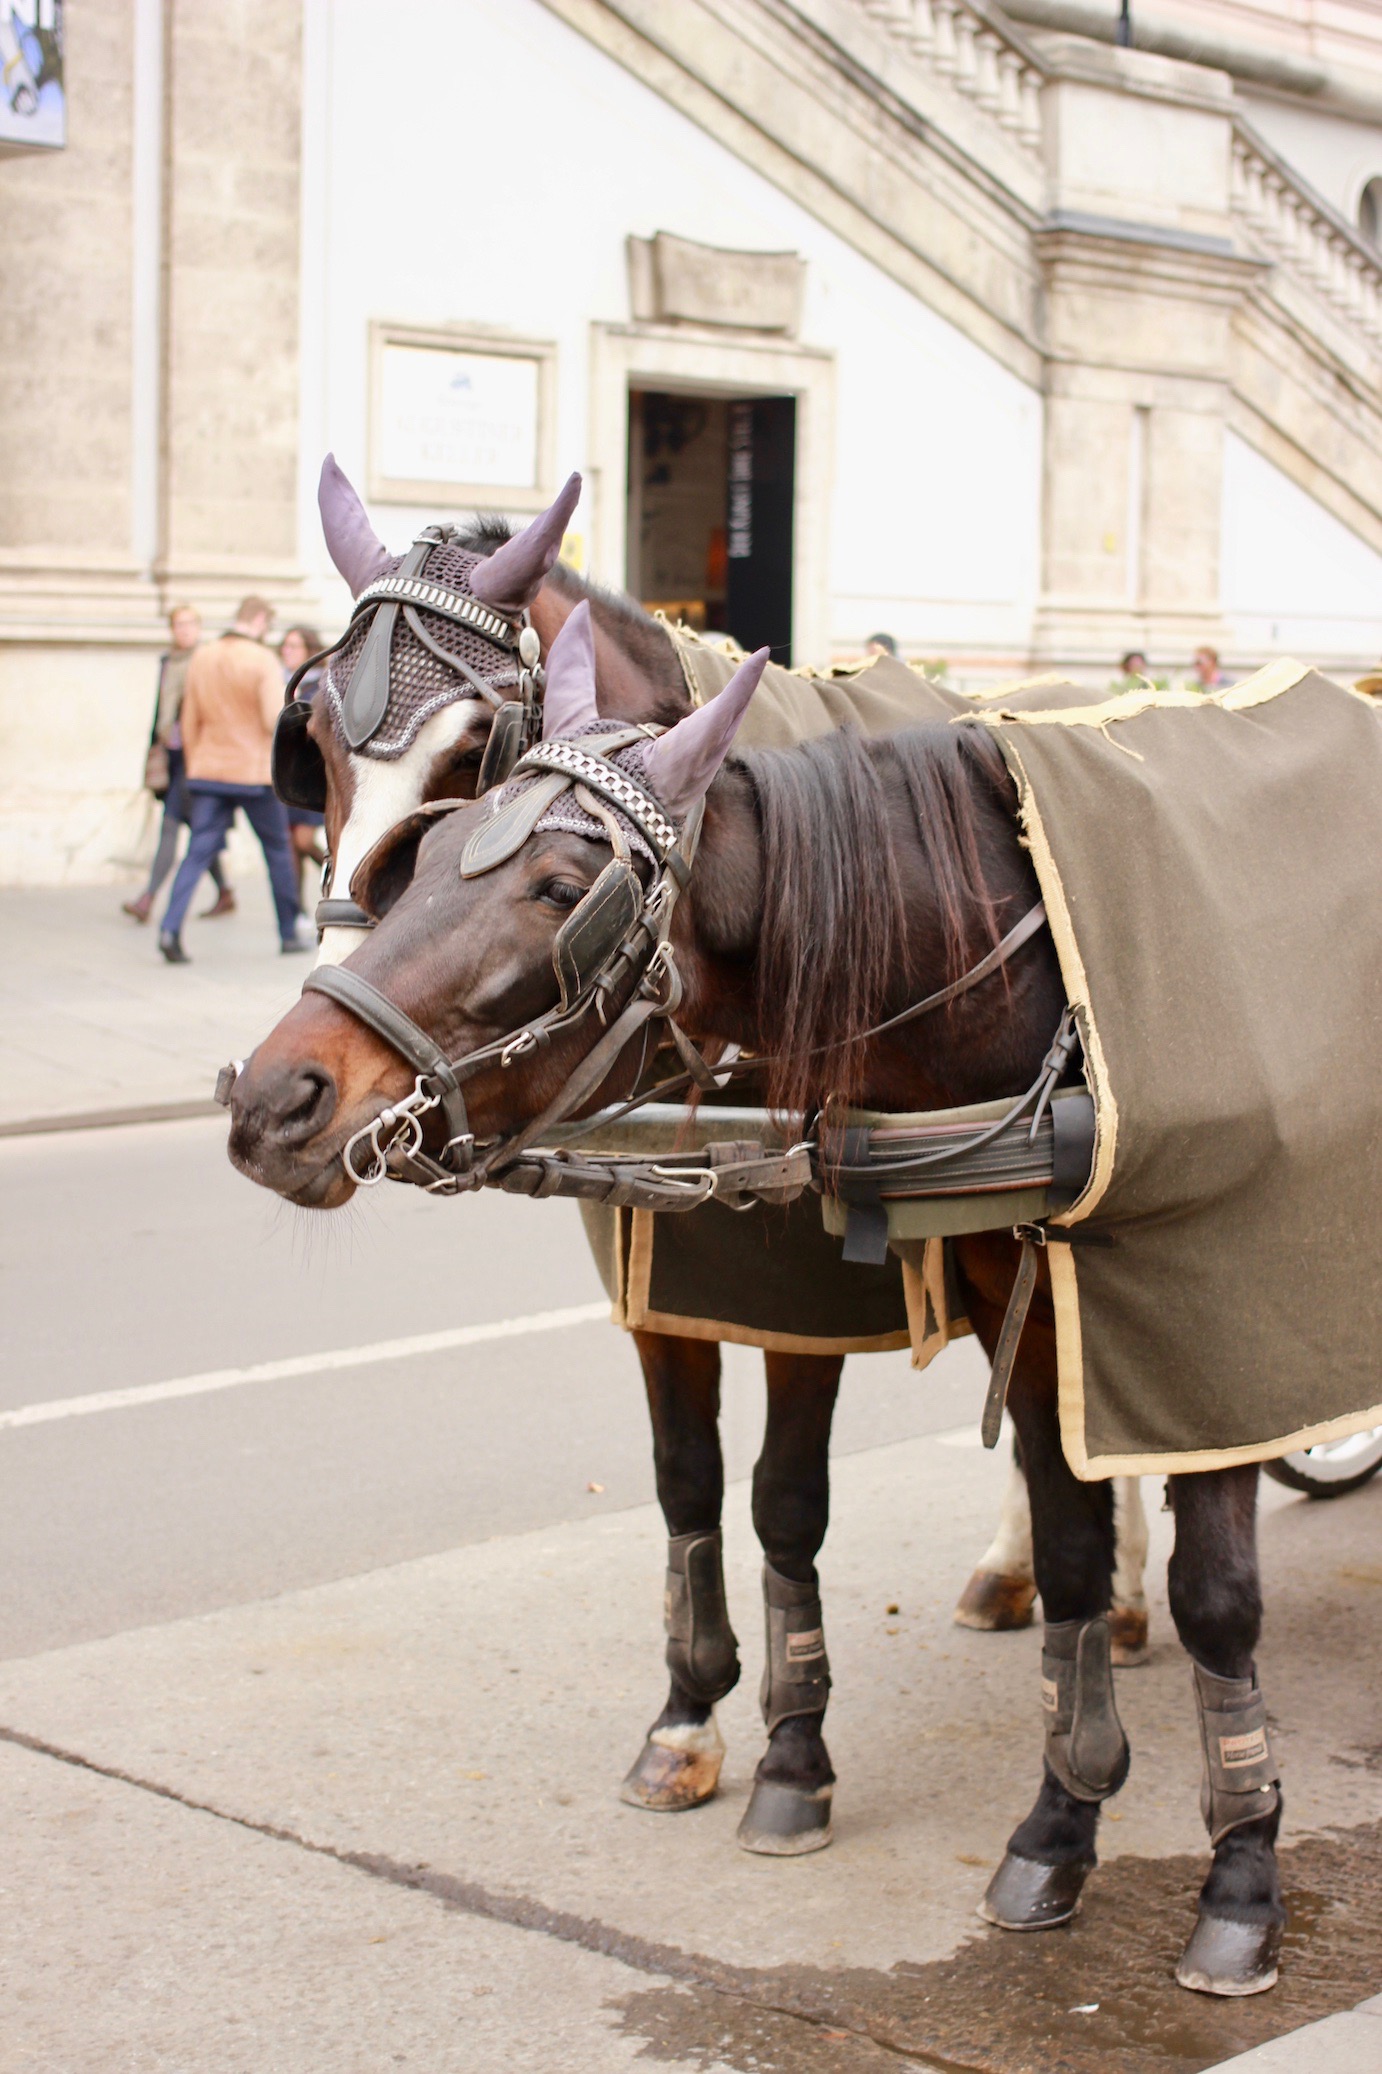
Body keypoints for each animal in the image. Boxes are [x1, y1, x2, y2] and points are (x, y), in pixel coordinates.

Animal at [234, 601, 1278, 1991]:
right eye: (319, 761)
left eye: (558, 886)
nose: (271, 1098)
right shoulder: (689, 1288)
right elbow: (693, 1487)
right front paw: (693, 1724)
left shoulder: (1183, 1323)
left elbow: (798, 1504)